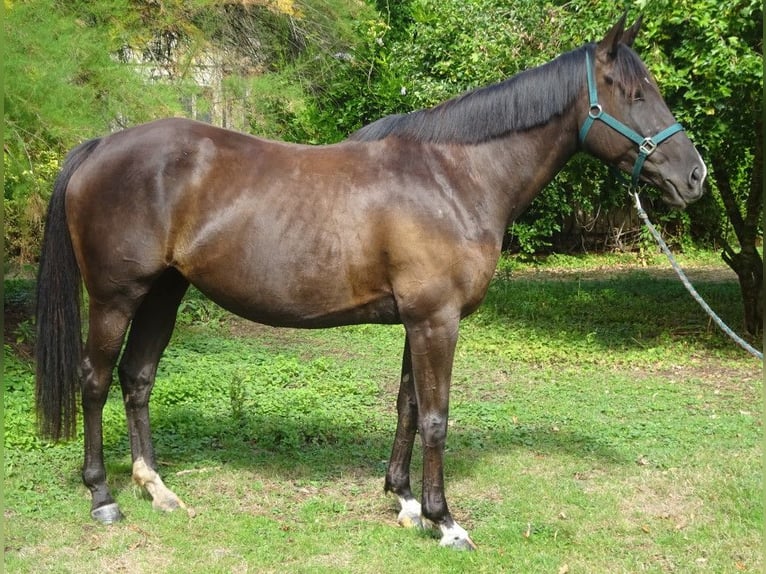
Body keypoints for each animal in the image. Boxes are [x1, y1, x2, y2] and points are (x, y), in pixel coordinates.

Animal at [35, 16, 705, 550]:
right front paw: (445, 522)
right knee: (95, 380)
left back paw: (157, 488)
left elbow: (408, 405)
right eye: (636, 93)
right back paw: (103, 497)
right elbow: (435, 417)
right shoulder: (436, 319)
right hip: (116, 297)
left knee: (137, 378)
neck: (452, 178)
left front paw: (405, 502)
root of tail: (102, 144)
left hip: (164, 293)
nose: (694, 176)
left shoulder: (420, 318)